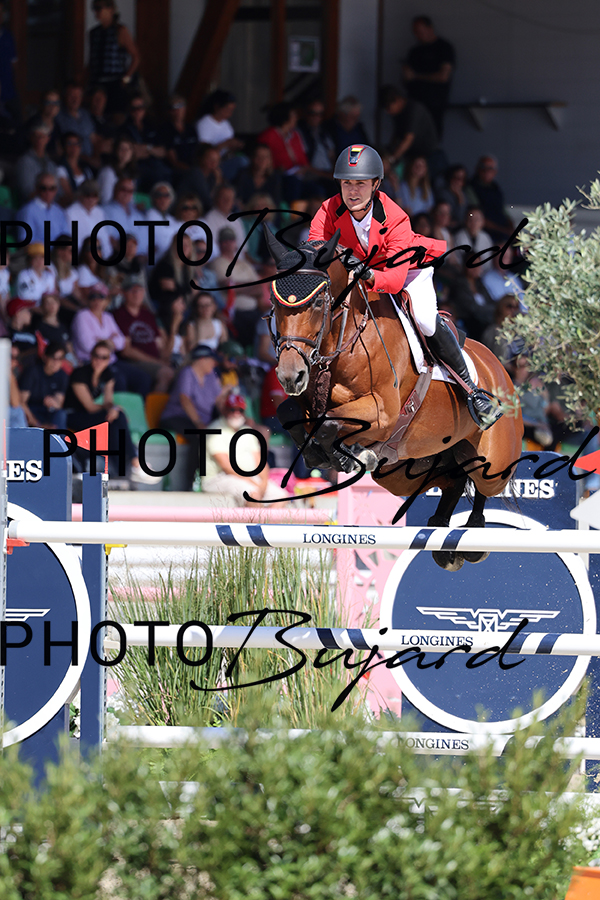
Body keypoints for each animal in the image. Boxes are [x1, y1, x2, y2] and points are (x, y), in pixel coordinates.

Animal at [265, 228, 524, 572]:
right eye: (274, 301)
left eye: (319, 301)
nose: (290, 375)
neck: (344, 339)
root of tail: (500, 369)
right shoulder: (310, 401)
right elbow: (291, 412)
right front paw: (328, 456)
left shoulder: (382, 413)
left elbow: (328, 424)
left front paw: (345, 456)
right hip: (404, 473)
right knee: (453, 480)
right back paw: (444, 539)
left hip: (493, 459)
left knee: (482, 482)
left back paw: (474, 537)